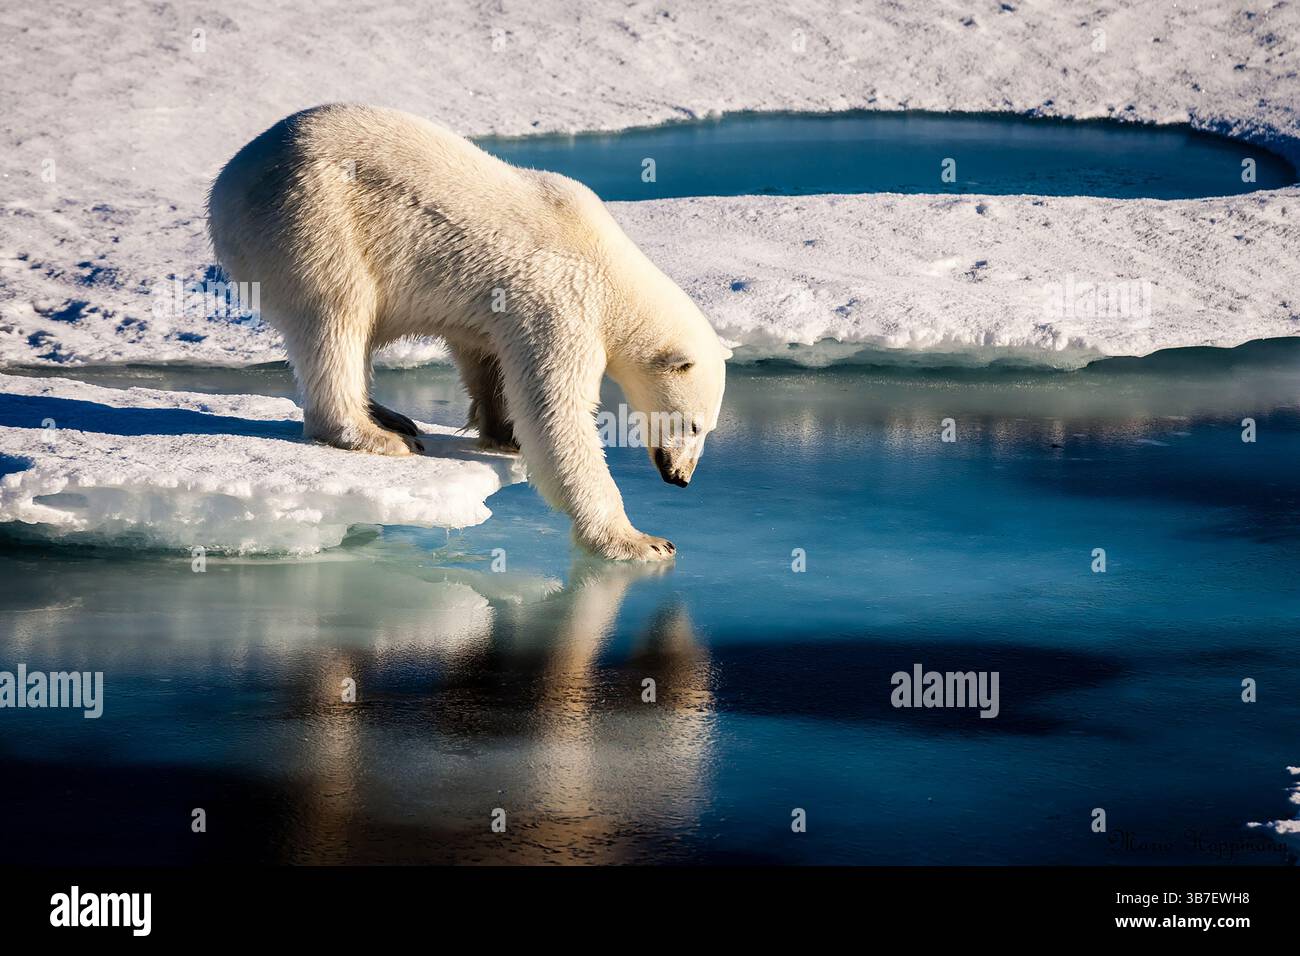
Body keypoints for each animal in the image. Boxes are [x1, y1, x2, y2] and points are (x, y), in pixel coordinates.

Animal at [208, 104, 729, 561]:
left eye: (707, 428)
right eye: (693, 424)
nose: (681, 477)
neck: (610, 267)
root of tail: (227, 181)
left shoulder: (503, 309)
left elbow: (486, 356)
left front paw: (503, 432)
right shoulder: (562, 302)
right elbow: (556, 413)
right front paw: (641, 541)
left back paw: (390, 415)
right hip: (313, 217)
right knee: (337, 314)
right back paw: (376, 435)